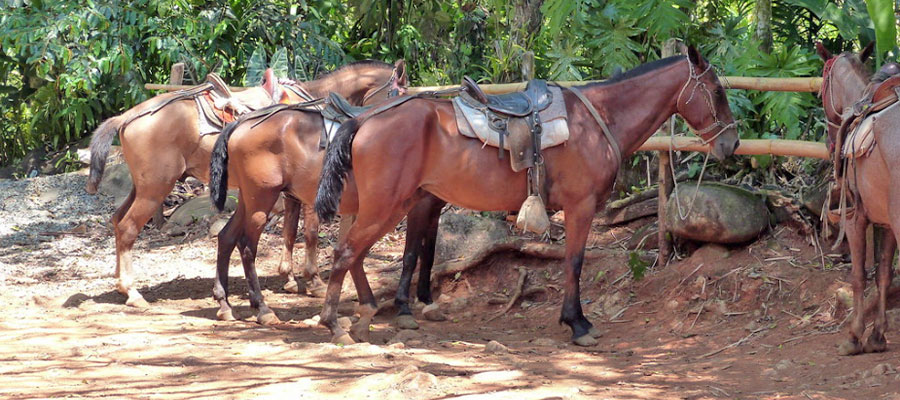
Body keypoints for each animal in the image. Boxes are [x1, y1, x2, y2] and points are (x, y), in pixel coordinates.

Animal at [86, 60, 404, 309]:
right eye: (399, 91)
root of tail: (126, 116)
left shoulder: (289, 192)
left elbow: (290, 232)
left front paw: (289, 278)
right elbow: (310, 233)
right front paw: (312, 280)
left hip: (143, 187)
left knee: (117, 221)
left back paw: (120, 284)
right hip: (155, 189)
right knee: (128, 228)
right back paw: (133, 291)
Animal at [207, 62, 447, 328]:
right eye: (398, 93)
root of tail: (241, 124)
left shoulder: (432, 209)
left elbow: (428, 253)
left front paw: (426, 300)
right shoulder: (416, 207)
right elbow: (411, 254)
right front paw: (404, 306)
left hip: (250, 199)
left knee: (226, 237)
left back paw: (224, 304)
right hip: (262, 200)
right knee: (247, 247)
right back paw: (262, 308)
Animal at [314, 46, 740, 345]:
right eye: (717, 91)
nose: (732, 144)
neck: (598, 121)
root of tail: (364, 119)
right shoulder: (581, 206)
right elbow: (574, 262)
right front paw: (577, 323)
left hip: (392, 204)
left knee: (355, 253)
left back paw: (366, 315)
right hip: (386, 205)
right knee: (346, 252)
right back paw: (334, 323)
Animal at [817, 42, 900, 355]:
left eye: (821, 84)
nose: (829, 141)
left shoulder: (855, 218)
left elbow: (857, 275)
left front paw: (854, 336)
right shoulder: (886, 224)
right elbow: (883, 274)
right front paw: (877, 336)